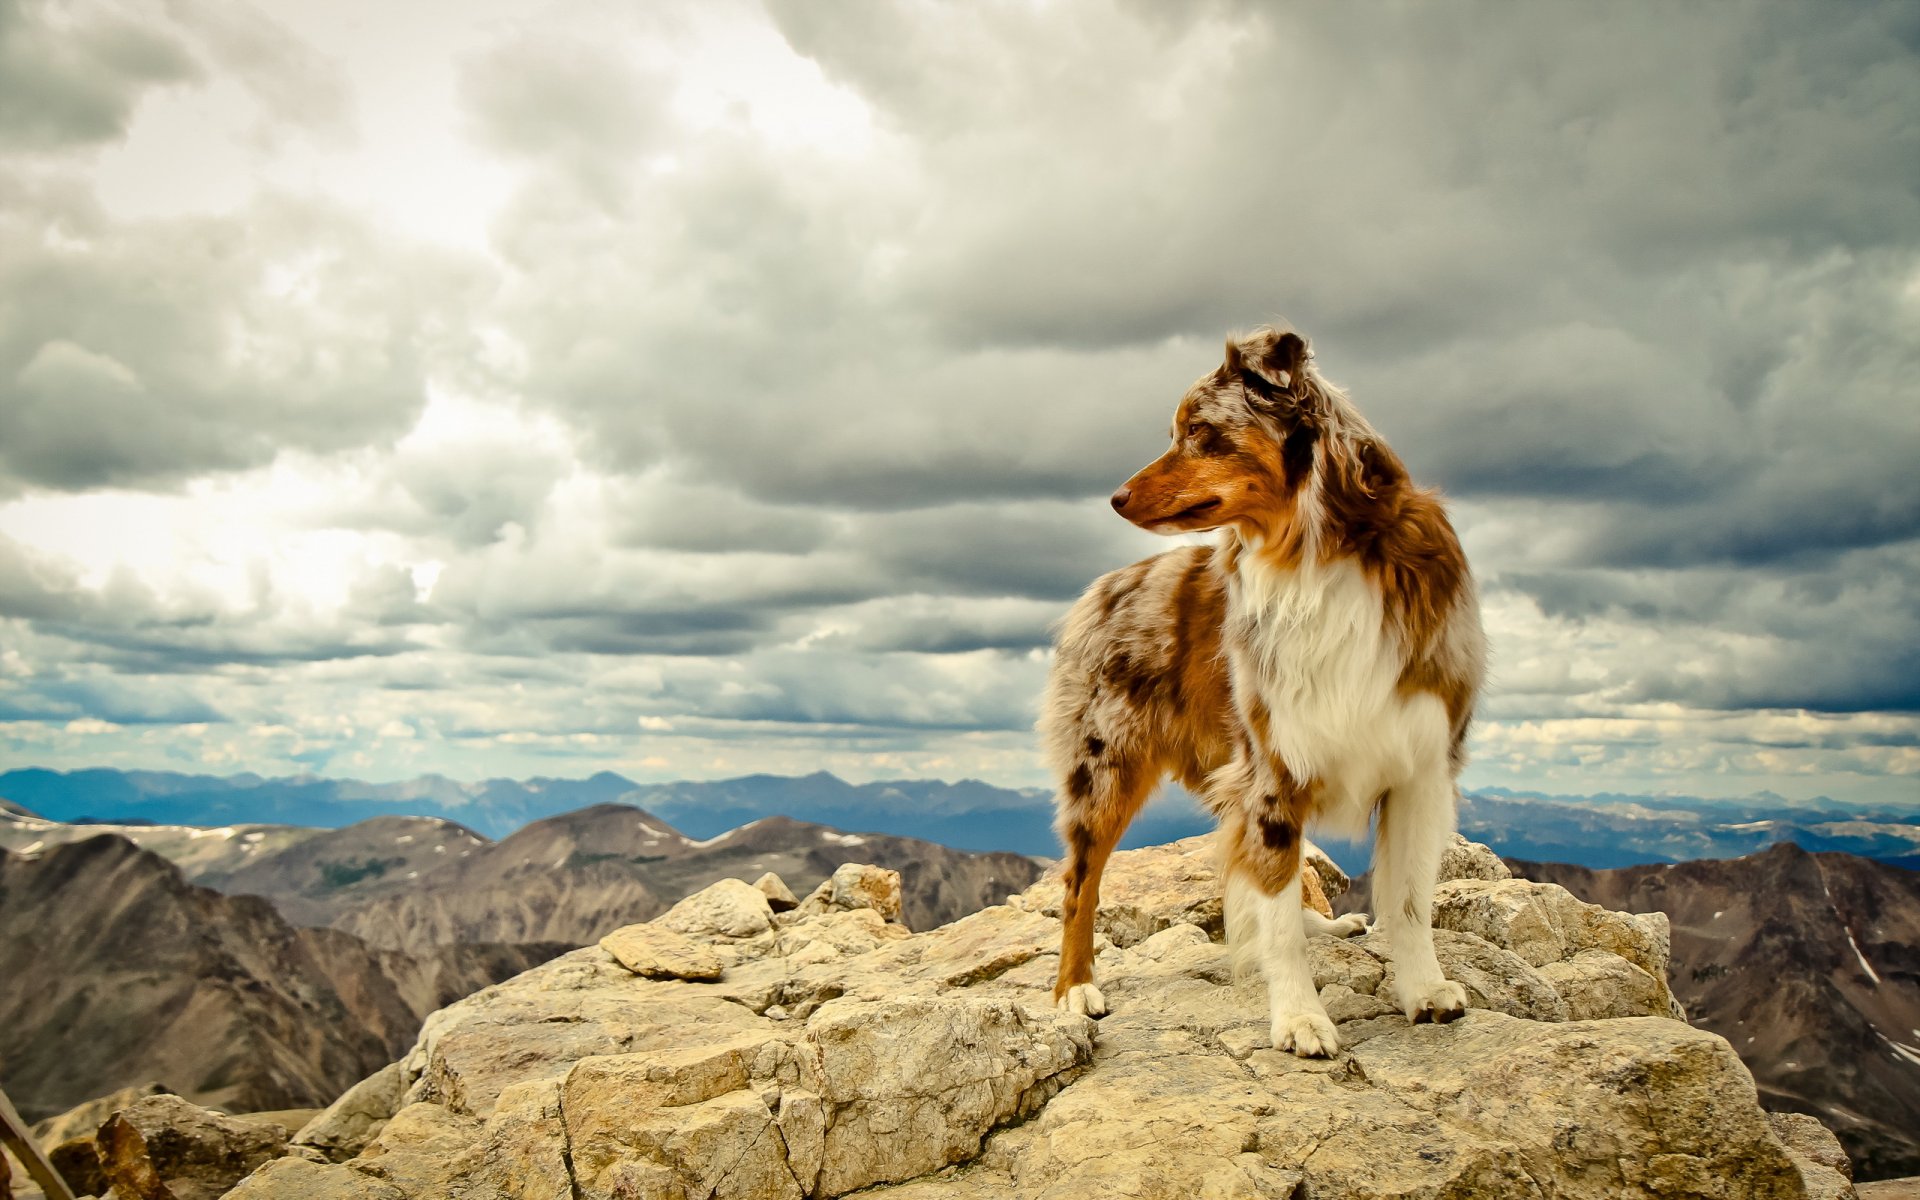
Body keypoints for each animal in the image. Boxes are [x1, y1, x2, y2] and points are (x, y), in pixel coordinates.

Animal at [1036, 322, 1482, 1052]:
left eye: (1198, 429)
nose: (1116, 498)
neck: (1316, 555)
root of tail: (1102, 588)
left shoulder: (1420, 763)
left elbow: (1410, 899)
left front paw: (1424, 990)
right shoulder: (1271, 766)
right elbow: (1273, 911)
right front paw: (1300, 1019)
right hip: (1105, 768)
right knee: (1081, 884)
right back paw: (1074, 989)